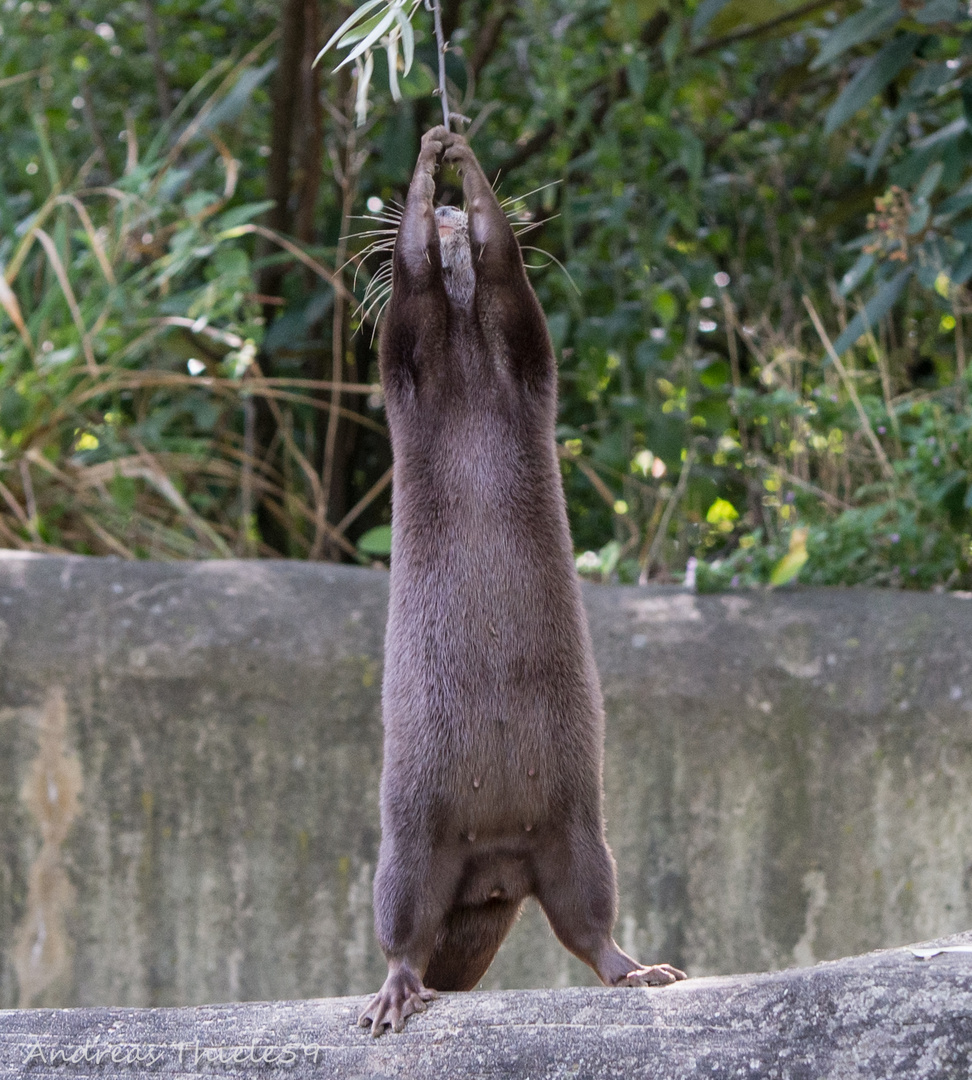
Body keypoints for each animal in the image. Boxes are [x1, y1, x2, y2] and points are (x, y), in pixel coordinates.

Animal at [356, 130, 682, 1032]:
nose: (447, 211)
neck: (469, 363)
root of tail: (496, 866)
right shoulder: (408, 353)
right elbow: (414, 275)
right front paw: (428, 178)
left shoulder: (524, 344)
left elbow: (504, 266)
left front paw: (462, 167)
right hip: (412, 841)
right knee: (402, 926)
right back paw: (395, 992)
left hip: (578, 836)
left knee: (588, 920)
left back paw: (637, 971)